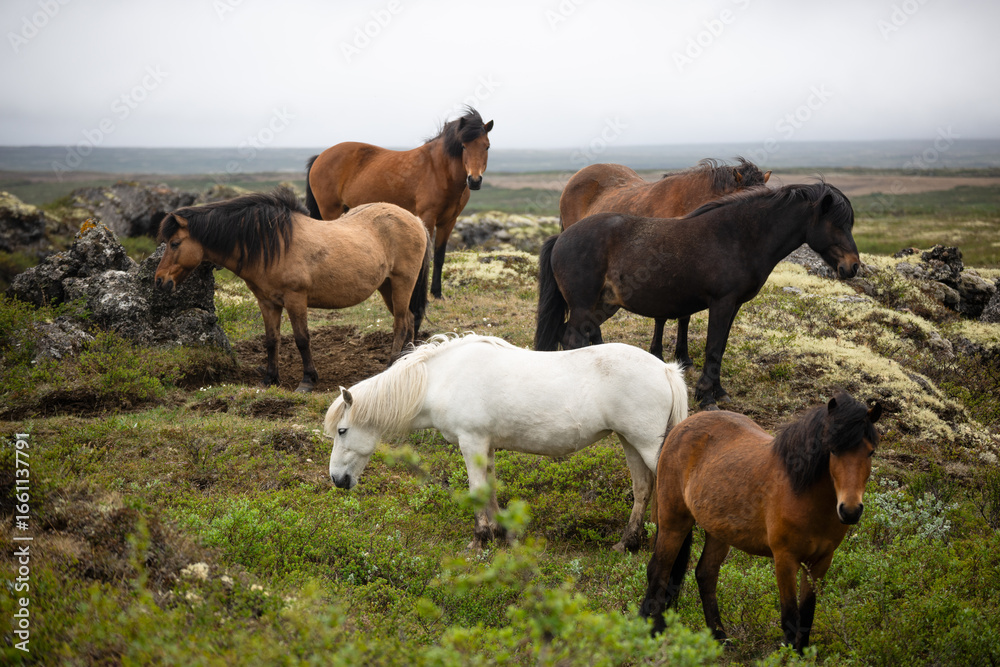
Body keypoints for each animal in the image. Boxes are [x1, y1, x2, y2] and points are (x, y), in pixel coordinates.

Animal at [154, 188, 431, 392]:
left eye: (175, 243)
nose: (159, 281)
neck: (271, 245)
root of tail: (415, 220)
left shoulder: (295, 299)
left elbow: (301, 339)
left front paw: (307, 381)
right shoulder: (267, 302)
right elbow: (271, 340)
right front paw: (269, 379)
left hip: (402, 283)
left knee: (401, 323)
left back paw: (391, 366)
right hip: (387, 286)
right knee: (408, 319)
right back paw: (405, 361)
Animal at [305, 106, 494, 299]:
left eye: (487, 146)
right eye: (463, 146)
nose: (474, 180)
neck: (439, 170)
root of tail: (320, 156)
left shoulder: (448, 222)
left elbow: (440, 257)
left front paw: (436, 293)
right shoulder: (427, 217)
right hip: (330, 210)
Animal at [324, 333, 688, 552]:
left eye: (342, 431)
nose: (337, 480)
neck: (442, 379)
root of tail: (666, 370)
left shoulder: (471, 442)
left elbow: (476, 489)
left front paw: (479, 539)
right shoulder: (486, 446)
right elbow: (490, 488)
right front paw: (500, 533)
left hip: (647, 445)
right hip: (630, 442)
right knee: (643, 489)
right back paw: (628, 543)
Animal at [535, 182, 861, 409]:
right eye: (837, 223)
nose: (853, 266)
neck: (738, 236)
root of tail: (562, 236)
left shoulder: (733, 306)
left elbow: (721, 347)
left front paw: (718, 391)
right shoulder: (721, 303)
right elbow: (713, 347)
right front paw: (706, 397)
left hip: (602, 305)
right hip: (583, 306)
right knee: (572, 339)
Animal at [640, 392, 882, 652]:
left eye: (870, 452)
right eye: (833, 450)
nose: (850, 510)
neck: (801, 490)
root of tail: (679, 428)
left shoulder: (820, 562)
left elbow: (807, 616)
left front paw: (802, 654)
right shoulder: (785, 559)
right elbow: (791, 619)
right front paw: (788, 656)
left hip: (718, 532)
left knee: (705, 575)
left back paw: (720, 636)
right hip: (674, 521)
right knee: (659, 570)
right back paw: (654, 630)